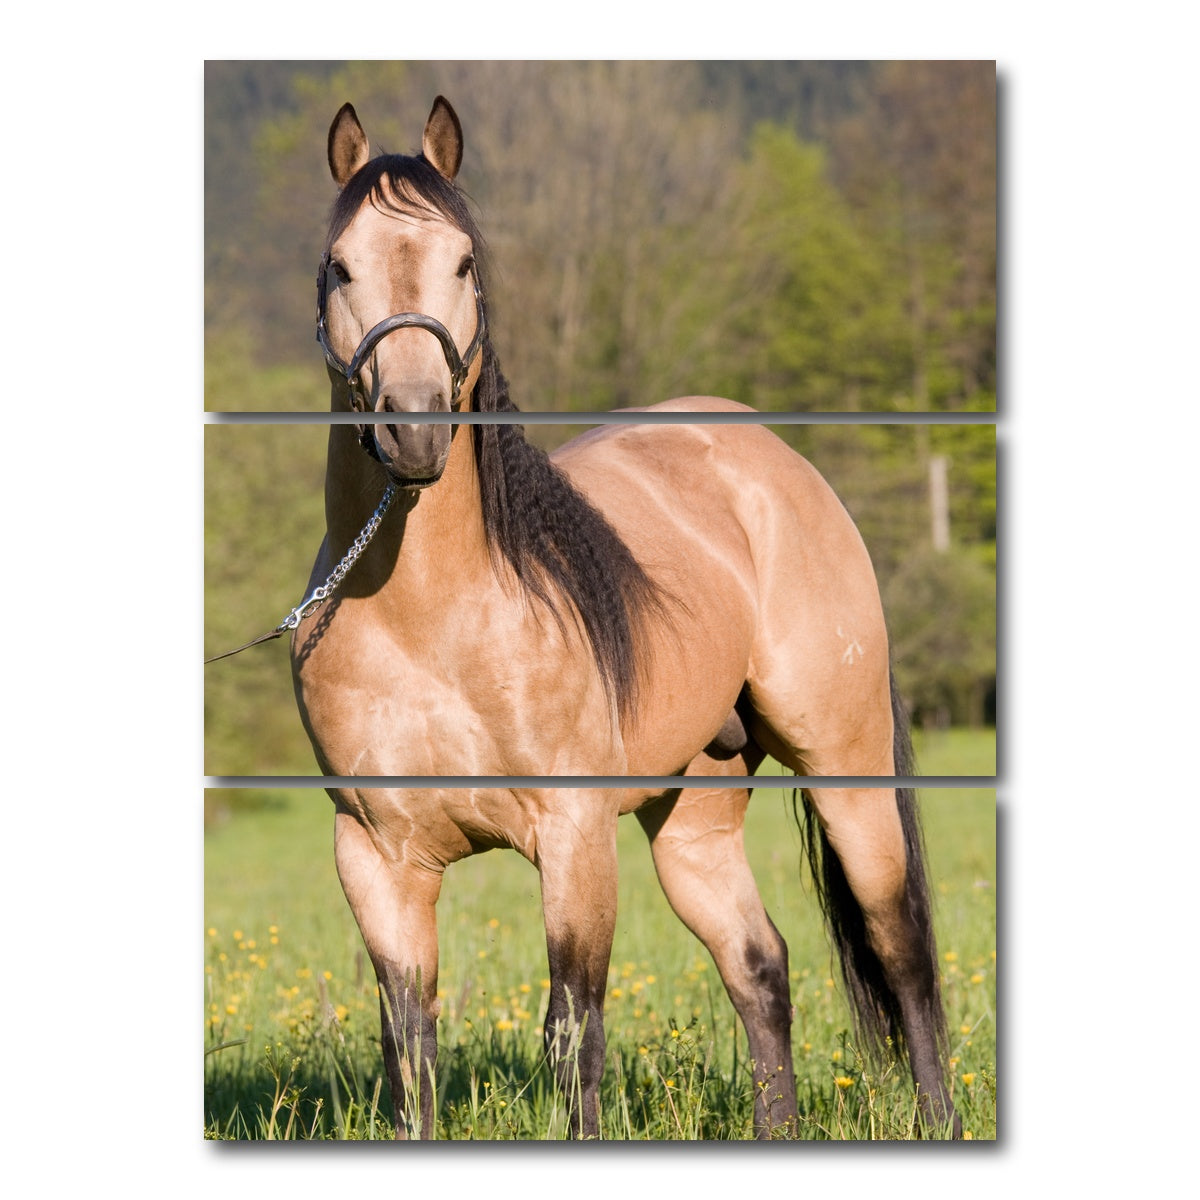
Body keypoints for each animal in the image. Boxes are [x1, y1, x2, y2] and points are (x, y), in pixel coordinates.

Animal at [290, 96, 959, 1140]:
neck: (431, 622)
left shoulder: (573, 841)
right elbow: (411, 1050)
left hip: (846, 767)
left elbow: (574, 1033)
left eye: (465, 261)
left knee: (900, 948)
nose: (414, 426)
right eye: (340, 265)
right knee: (759, 966)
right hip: (694, 817)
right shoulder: (376, 856)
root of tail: (774, 459)